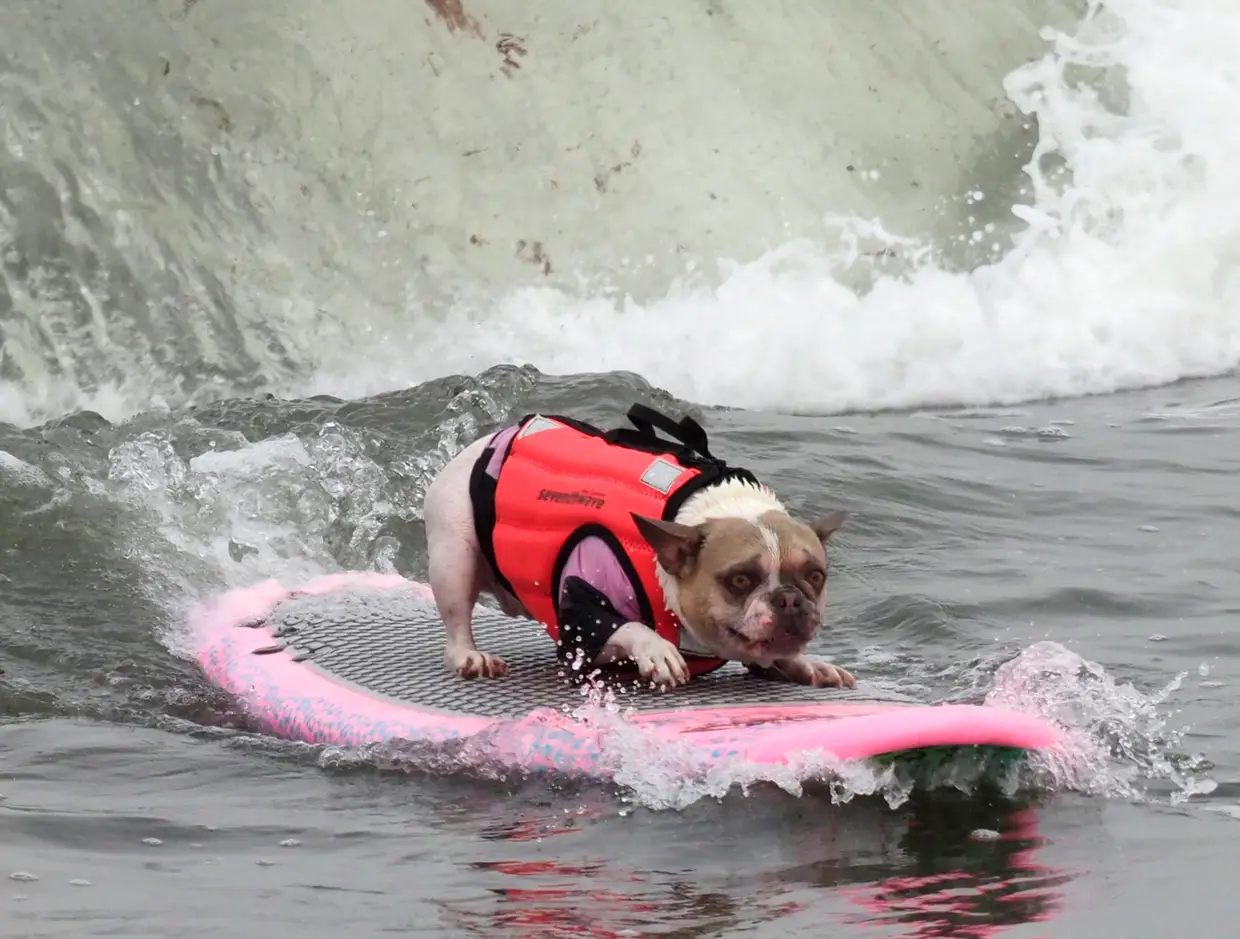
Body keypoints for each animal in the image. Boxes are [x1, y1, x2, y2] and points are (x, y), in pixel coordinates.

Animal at [421, 401, 858, 689]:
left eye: (815, 576)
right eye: (739, 580)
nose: (789, 599)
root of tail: (489, 442)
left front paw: (807, 664)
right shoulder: (581, 617)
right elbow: (623, 625)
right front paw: (656, 648)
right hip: (454, 553)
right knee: (457, 617)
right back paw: (469, 657)